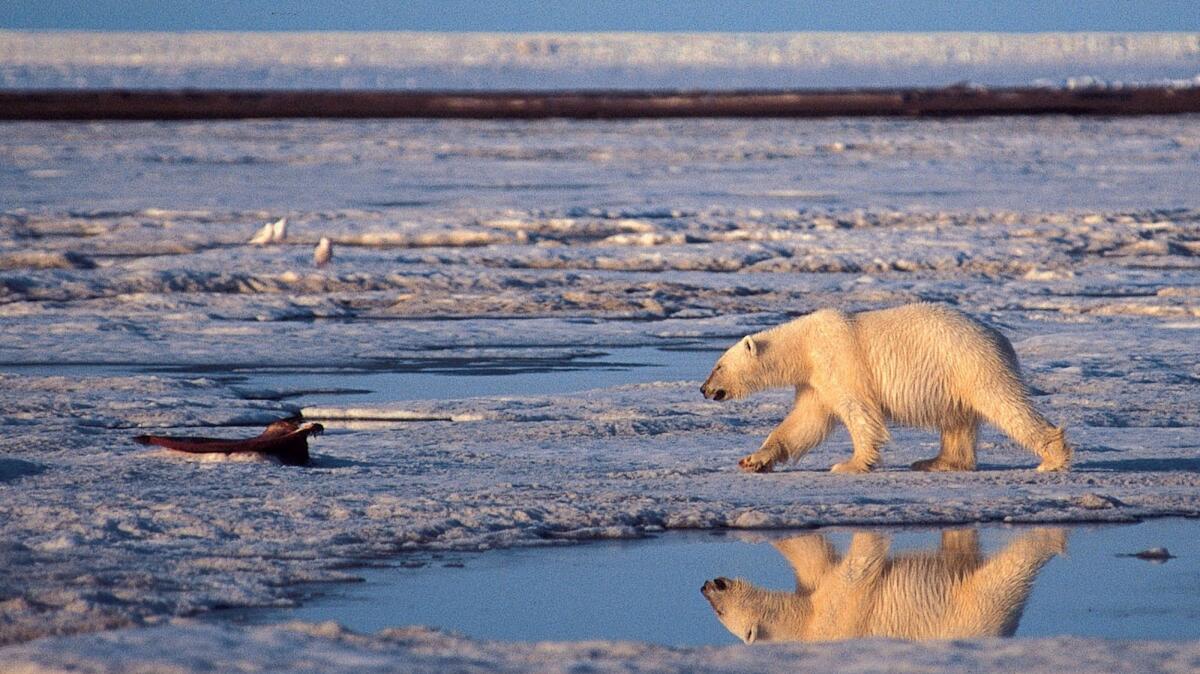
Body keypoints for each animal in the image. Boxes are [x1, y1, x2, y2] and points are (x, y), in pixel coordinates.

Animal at [700, 302, 1075, 470]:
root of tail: (1001, 338)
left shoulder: (840, 361)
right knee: (957, 420)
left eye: (718, 365)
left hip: (970, 363)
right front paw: (753, 459)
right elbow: (804, 423)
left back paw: (1052, 457)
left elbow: (858, 411)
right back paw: (936, 462)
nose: (704, 389)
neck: (804, 345)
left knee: (1004, 403)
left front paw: (850, 465)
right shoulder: (814, 381)